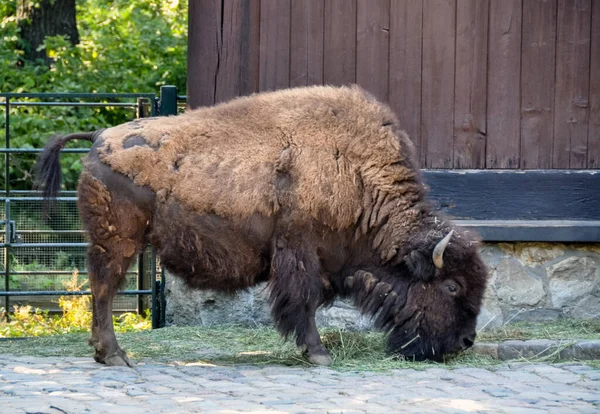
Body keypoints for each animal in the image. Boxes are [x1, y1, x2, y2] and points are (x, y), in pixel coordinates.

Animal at [37, 85, 488, 366]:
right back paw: (115, 355)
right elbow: (303, 302)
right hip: (119, 242)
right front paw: (318, 354)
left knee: (101, 290)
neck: (358, 175)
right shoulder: (299, 252)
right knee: (103, 290)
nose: (466, 342)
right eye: (452, 287)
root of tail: (99, 137)